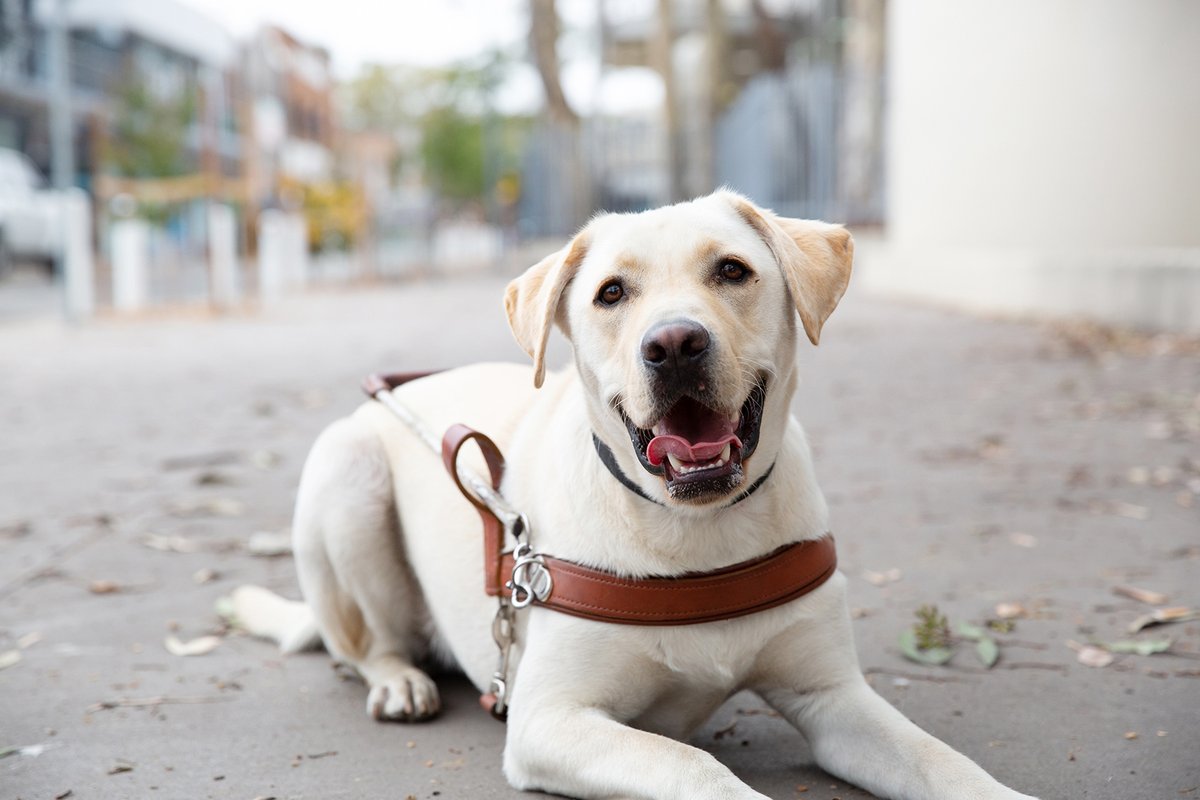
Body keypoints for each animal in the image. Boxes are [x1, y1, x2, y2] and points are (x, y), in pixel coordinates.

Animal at [236, 191, 1041, 800]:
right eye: (612, 294)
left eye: (732, 270)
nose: (675, 344)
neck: (695, 523)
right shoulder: (550, 720)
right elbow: (695, 766)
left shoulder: (835, 697)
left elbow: (942, 762)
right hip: (346, 473)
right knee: (363, 643)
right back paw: (399, 680)